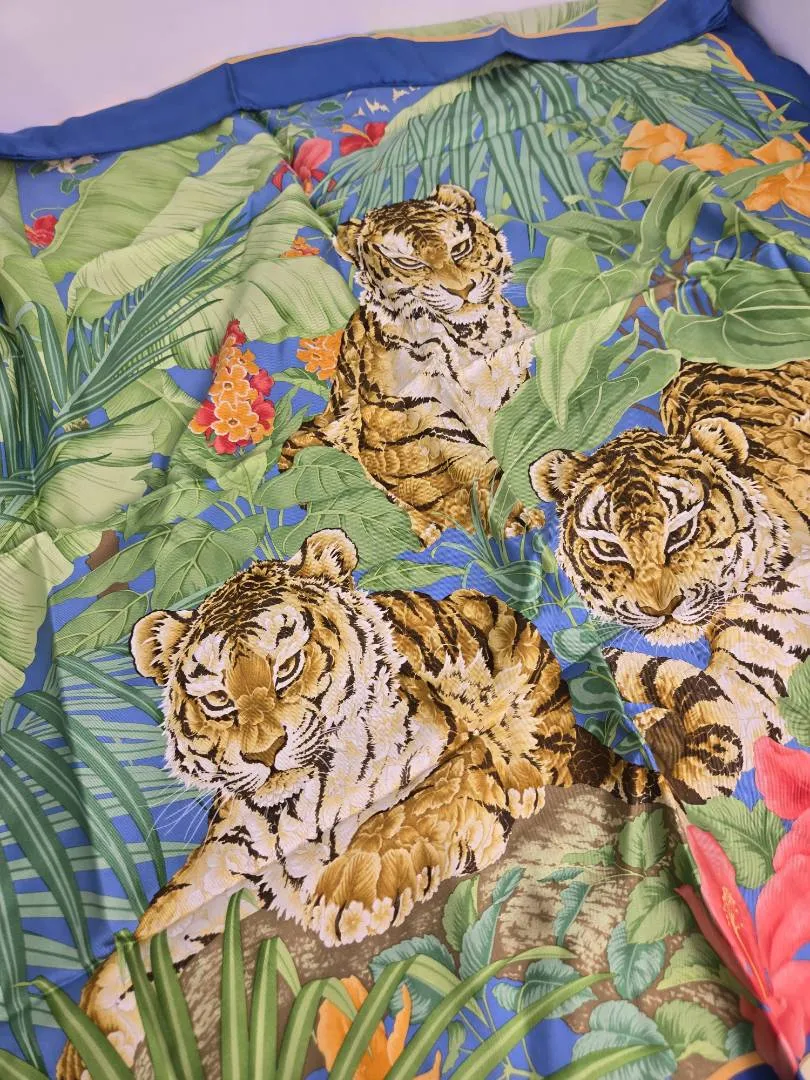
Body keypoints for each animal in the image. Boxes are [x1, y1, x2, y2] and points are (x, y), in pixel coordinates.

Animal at [58, 528, 664, 1078]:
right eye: (217, 700)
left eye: (286, 668)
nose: (264, 752)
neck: (305, 806)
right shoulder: (232, 856)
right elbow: (149, 931)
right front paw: (87, 1047)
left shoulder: (476, 748)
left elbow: (426, 798)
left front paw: (354, 887)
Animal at [280, 183, 541, 544]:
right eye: (408, 262)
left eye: (461, 247)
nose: (463, 289)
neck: (470, 339)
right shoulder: (410, 434)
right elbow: (462, 477)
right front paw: (513, 518)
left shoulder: (513, 394)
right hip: (312, 458)